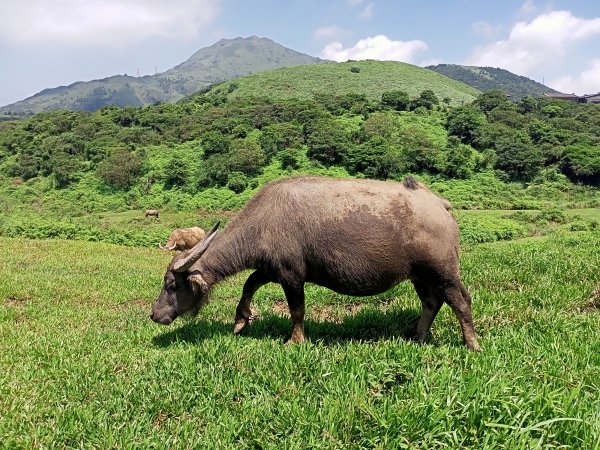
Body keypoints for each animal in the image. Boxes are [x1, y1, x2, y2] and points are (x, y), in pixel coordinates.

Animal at [151, 176, 482, 352]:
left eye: (170, 284)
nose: (155, 315)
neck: (263, 221)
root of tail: (440, 205)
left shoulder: (292, 275)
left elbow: (297, 310)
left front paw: (295, 340)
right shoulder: (271, 269)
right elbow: (249, 283)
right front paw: (241, 320)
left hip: (443, 271)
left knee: (461, 301)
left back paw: (472, 344)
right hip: (419, 275)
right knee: (431, 303)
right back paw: (417, 337)